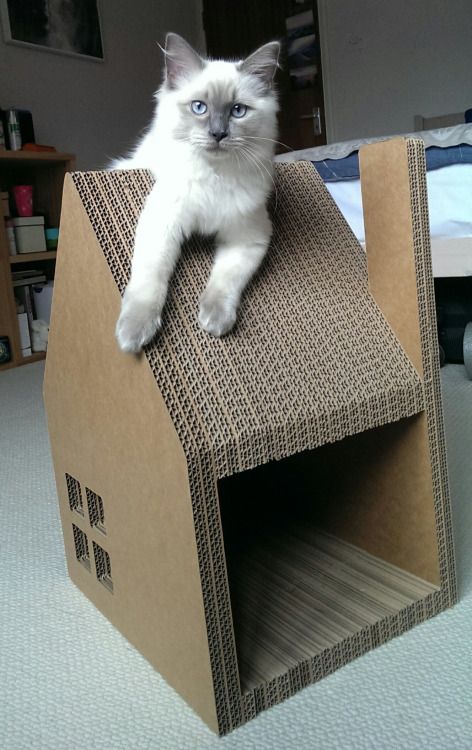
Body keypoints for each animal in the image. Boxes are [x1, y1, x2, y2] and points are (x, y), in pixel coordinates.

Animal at [112, 32, 280, 353]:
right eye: (199, 107)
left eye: (238, 111)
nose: (218, 134)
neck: (214, 176)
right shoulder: (163, 224)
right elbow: (151, 281)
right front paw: (134, 334)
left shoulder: (247, 237)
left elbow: (224, 282)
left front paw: (215, 322)